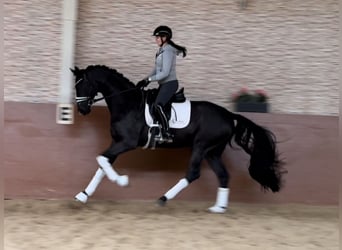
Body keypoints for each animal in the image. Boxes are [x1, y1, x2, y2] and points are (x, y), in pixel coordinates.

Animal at [71, 64, 284, 213]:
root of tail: (228, 115)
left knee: (193, 174)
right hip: (212, 152)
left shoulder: (126, 143)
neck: (128, 104)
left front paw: (122, 181)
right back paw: (218, 208)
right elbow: (102, 165)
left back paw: (163, 199)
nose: (82, 109)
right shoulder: (116, 142)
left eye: (83, 84)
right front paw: (82, 196)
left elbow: (101, 160)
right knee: (223, 175)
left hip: (200, 147)